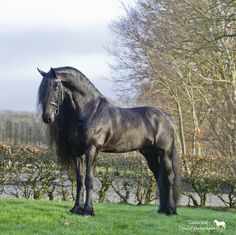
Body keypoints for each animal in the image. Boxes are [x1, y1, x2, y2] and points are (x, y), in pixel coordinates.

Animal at [37, 66, 180, 217]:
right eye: (42, 89)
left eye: (56, 86)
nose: (47, 117)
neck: (89, 111)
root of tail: (167, 118)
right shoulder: (77, 152)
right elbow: (80, 179)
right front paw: (76, 209)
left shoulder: (92, 149)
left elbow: (89, 179)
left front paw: (88, 210)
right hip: (150, 154)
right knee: (159, 177)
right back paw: (162, 210)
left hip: (165, 152)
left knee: (169, 177)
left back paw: (170, 210)